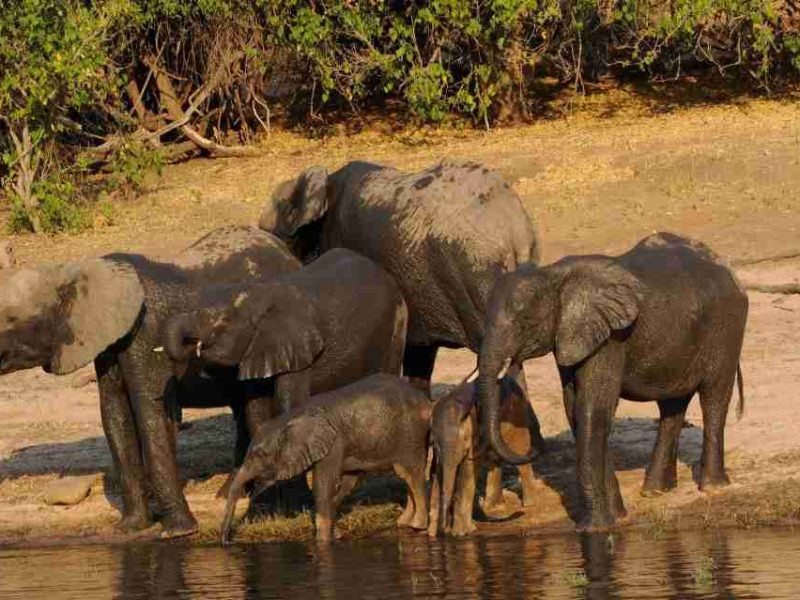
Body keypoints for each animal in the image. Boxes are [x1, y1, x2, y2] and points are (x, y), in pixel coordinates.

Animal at [0, 226, 302, 540]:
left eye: (11, 319)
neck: (73, 270)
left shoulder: (143, 332)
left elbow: (149, 411)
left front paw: (177, 533)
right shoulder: (110, 340)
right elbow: (115, 416)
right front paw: (128, 529)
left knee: (254, 408)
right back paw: (229, 492)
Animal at [219, 376, 432, 544]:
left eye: (260, 455)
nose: (226, 541)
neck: (292, 417)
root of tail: (426, 401)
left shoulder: (334, 443)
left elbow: (324, 484)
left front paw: (322, 541)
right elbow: (345, 484)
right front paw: (336, 534)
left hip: (412, 434)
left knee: (410, 473)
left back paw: (417, 526)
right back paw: (403, 523)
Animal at [428, 368, 548, 536]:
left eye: (465, 439)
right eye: (434, 443)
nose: (442, 532)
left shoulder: (474, 438)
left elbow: (467, 472)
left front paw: (462, 533)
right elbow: (441, 473)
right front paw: (433, 534)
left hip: (518, 417)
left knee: (520, 450)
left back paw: (529, 504)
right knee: (494, 460)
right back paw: (493, 506)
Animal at [478, 232, 748, 532]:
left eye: (525, 320)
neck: (553, 275)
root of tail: (729, 268)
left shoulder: (610, 337)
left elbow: (592, 410)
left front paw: (594, 529)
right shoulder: (571, 336)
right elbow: (577, 411)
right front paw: (618, 517)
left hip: (726, 326)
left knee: (714, 395)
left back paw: (713, 487)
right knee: (672, 406)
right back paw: (654, 491)